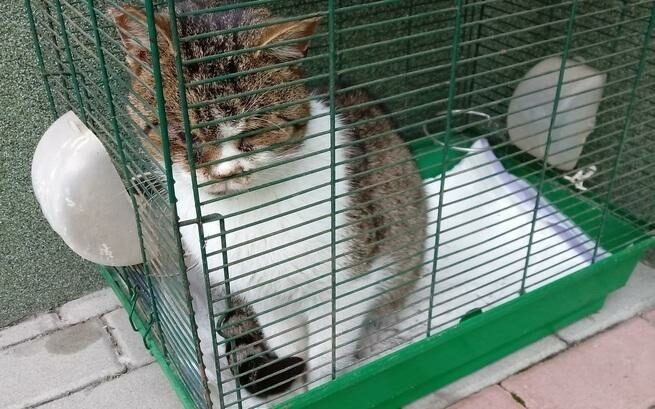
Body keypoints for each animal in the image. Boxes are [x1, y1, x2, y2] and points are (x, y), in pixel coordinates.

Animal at [111, 1, 427, 404]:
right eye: (183, 136)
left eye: (254, 130)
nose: (225, 173)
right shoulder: (265, 296)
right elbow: (286, 345)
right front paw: (293, 392)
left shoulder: (350, 283)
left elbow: (327, 354)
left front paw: (322, 389)